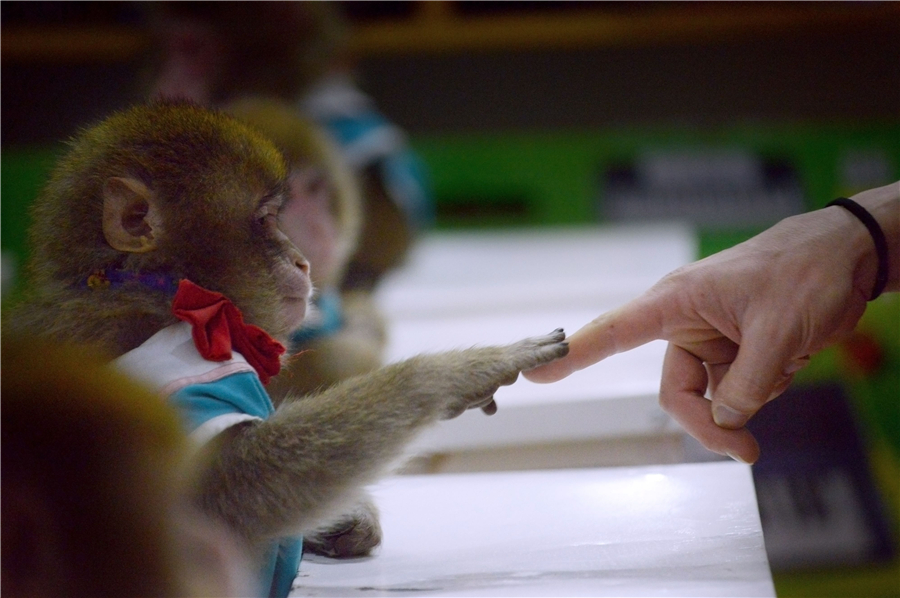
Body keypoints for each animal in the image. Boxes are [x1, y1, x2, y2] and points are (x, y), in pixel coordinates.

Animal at [6, 101, 568, 598]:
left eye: (280, 215)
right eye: (265, 219)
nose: (301, 261)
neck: (156, 292)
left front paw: (345, 522)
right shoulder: (179, 364)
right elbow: (238, 485)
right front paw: (449, 374)